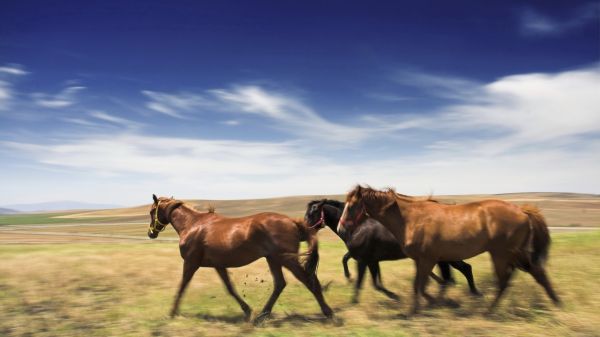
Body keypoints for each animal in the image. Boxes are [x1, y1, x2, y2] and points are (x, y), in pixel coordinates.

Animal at [145, 194, 332, 322]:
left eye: (152, 211)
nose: (151, 233)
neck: (192, 225)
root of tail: (293, 222)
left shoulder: (191, 263)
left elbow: (182, 286)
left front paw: (172, 313)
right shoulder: (219, 265)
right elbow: (230, 288)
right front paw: (247, 311)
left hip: (287, 259)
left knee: (308, 281)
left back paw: (328, 313)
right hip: (273, 259)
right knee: (280, 284)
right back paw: (262, 315)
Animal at [338, 185, 564, 312]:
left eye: (351, 206)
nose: (341, 229)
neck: (410, 219)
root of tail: (523, 211)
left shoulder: (428, 259)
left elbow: (422, 286)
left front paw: (419, 309)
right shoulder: (422, 261)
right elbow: (422, 285)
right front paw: (428, 305)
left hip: (502, 254)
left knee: (505, 280)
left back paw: (489, 311)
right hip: (513, 254)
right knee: (535, 273)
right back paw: (556, 303)